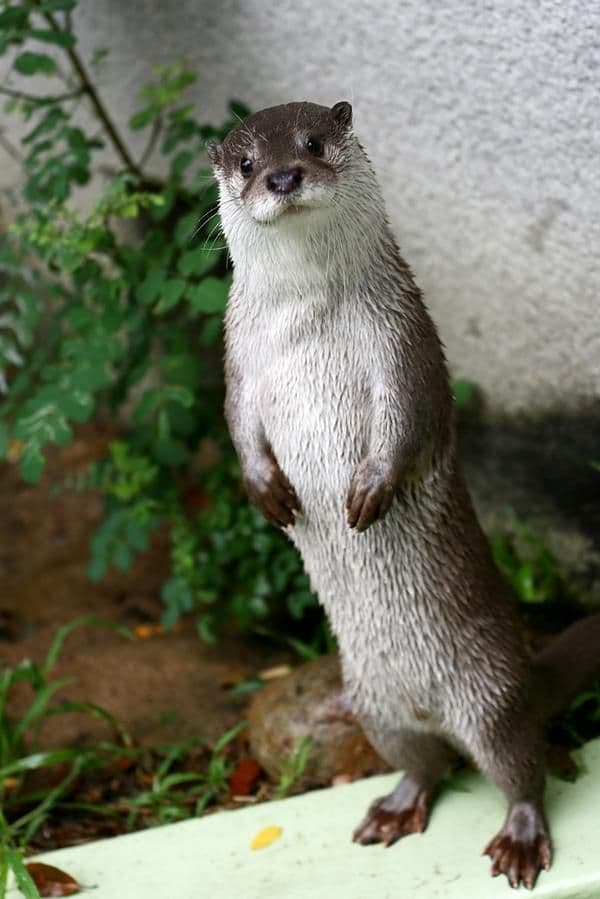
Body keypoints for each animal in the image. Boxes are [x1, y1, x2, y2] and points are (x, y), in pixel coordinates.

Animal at [207, 101, 600, 890]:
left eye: (314, 141)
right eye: (245, 163)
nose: (283, 176)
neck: (307, 326)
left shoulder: (402, 344)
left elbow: (408, 422)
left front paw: (370, 491)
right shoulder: (237, 361)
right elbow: (237, 426)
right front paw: (267, 492)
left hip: (490, 696)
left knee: (521, 768)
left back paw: (520, 836)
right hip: (373, 705)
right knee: (425, 764)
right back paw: (396, 807)